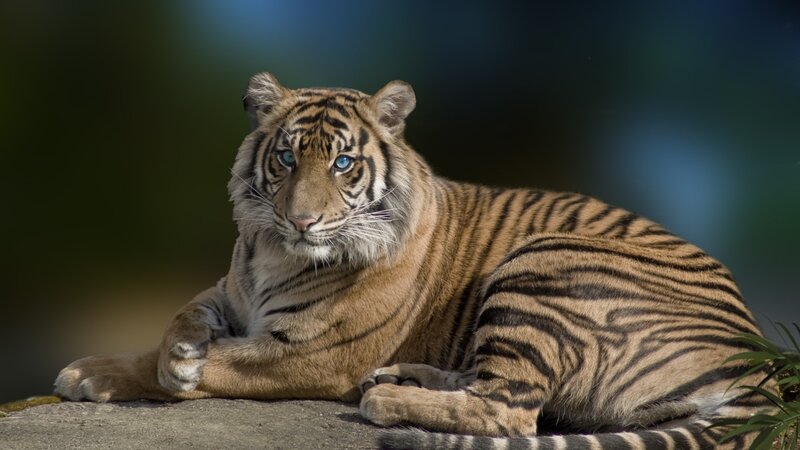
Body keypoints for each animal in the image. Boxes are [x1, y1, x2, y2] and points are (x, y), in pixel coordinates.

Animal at [54, 72, 771, 449]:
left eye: (343, 163)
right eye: (285, 157)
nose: (301, 220)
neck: (271, 252)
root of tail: (759, 357)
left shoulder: (307, 353)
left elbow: (203, 363)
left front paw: (101, 373)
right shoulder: (227, 294)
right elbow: (181, 317)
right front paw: (165, 354)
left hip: (542, 261)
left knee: (511, 407)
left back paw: (386, 399)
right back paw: (403, 376)